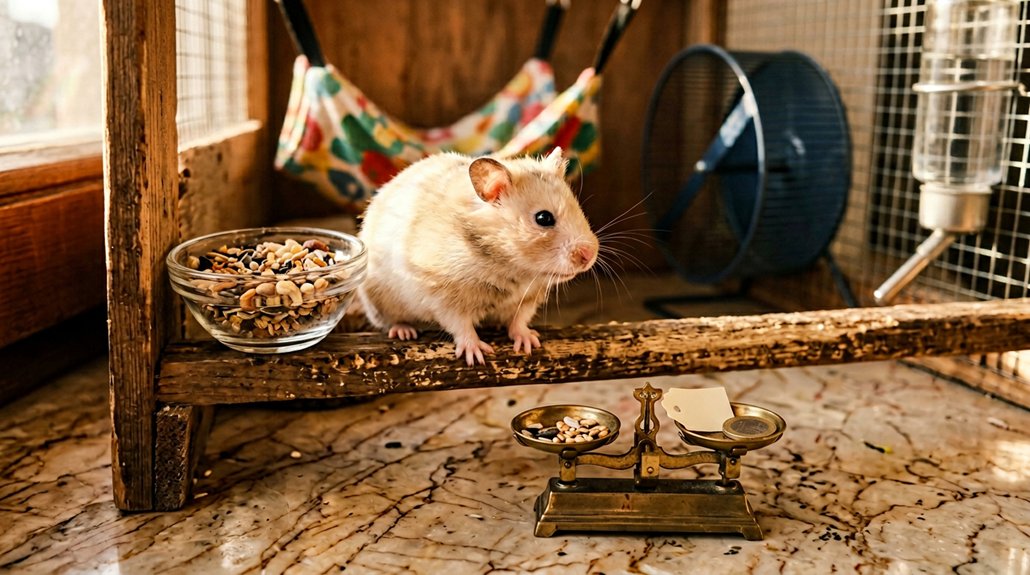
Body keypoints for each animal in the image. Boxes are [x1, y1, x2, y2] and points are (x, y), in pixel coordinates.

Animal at [357, 147, 599, 365]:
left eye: (578, 208)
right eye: (543, 218)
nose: (590, 255)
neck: (513, 268)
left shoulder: (528, 297)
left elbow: (519, 320)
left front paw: (529, 343)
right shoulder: (443, 296)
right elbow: (460, 325)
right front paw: (477, 355)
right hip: (381, 302)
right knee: (392, 322)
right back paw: (404, 331)